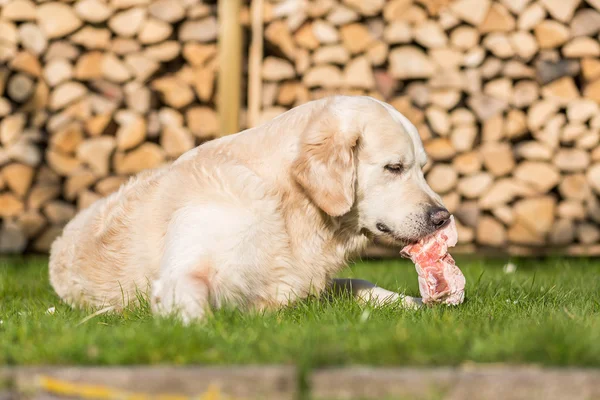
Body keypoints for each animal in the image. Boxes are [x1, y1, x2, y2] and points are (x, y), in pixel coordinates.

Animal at [48, 96, 450, 322]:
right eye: (394, 167)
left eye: (422, 167)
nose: (443, 217)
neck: (287, 208)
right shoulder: (190, 264)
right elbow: (191, 293)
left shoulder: (306, 281)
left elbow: (362, 283)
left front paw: (420, 302)